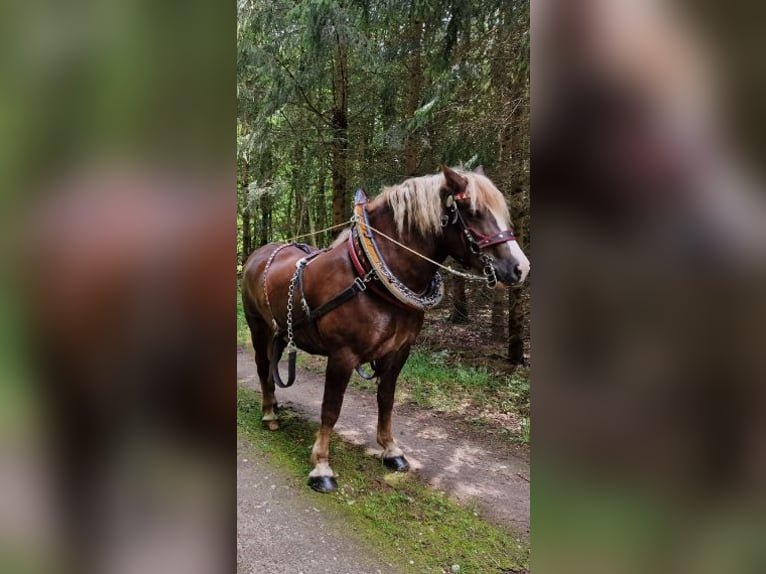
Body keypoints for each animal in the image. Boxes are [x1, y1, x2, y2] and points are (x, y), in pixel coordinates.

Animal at [240, 166, 528, 496]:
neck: (370, 275)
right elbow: (331, 408)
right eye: (473, 211)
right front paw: (321, 466)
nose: (520, 267)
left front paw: (391, 450)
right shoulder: (342, 356)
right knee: (263, 367)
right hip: (257, 327)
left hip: (278, 331)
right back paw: (269, 413)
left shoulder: (398, 352)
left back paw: (274, 406)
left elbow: (387, 399)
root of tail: (260, 252)